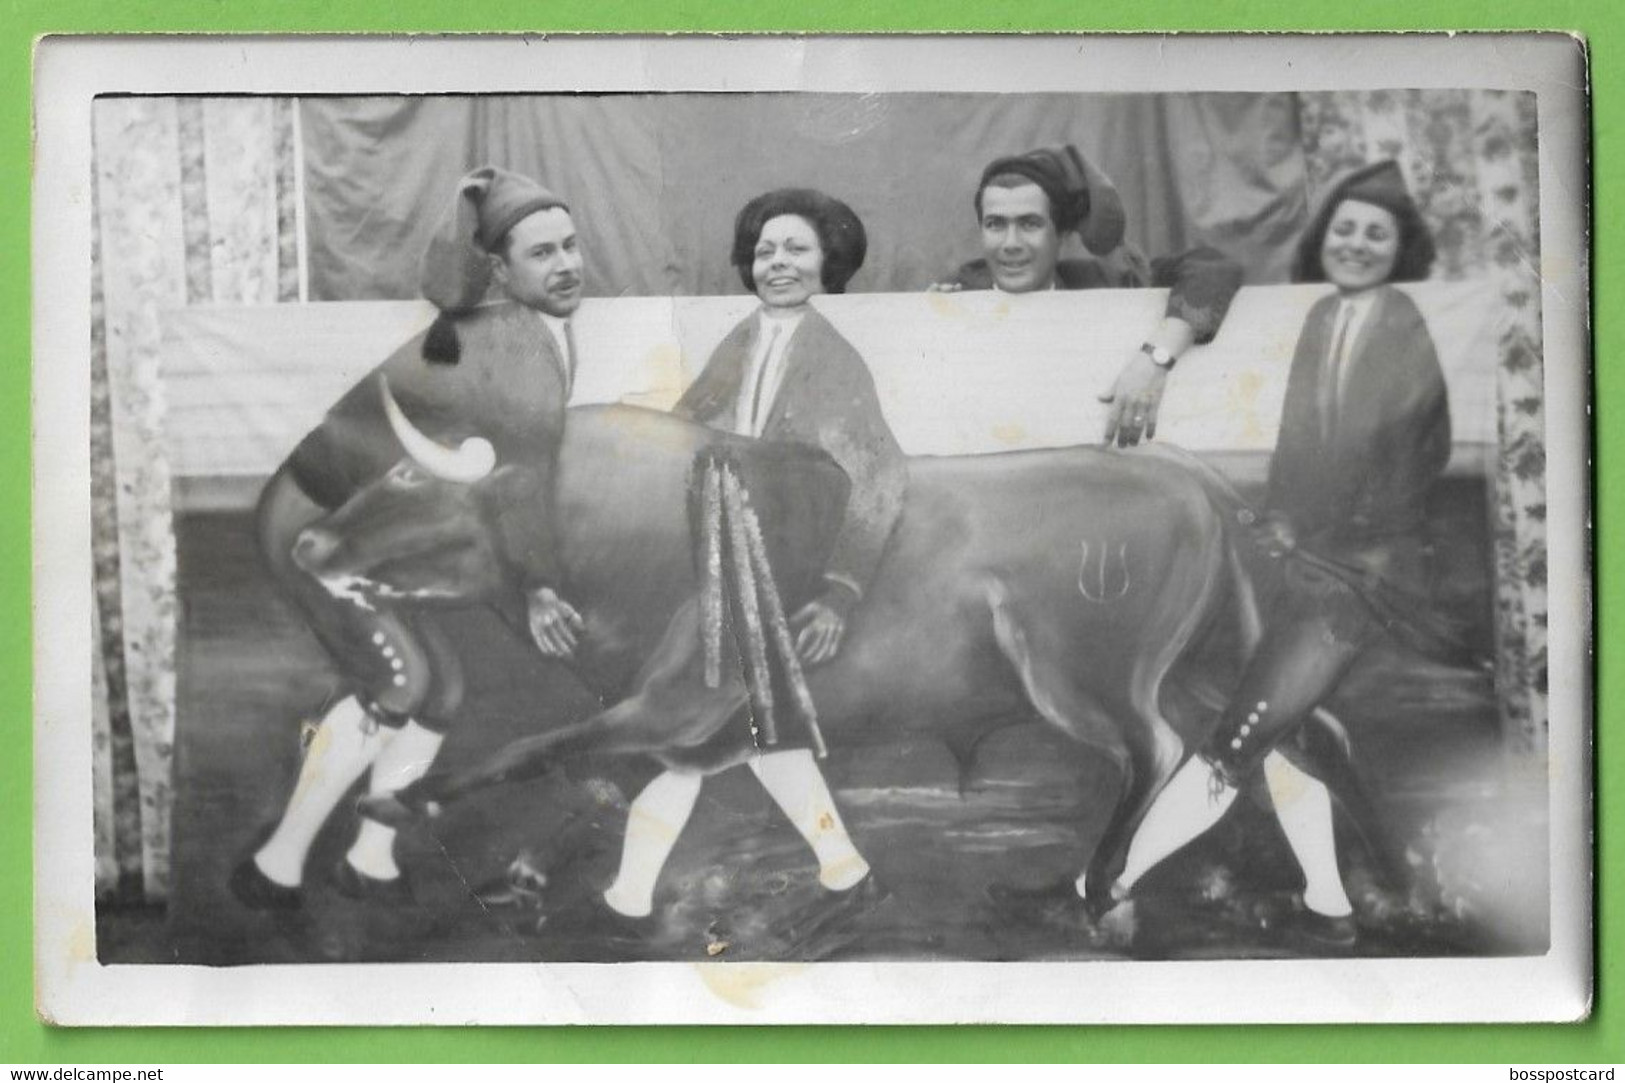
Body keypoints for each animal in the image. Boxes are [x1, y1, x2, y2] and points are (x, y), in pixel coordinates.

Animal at [295, 382, 1384, 910]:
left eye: (407, 475)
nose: (309, 544)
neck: (648, 526)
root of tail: (1198, 483)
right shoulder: (713, 727)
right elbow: (646, 793)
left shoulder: (674, 703)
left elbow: (536, 748)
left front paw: (396, 803)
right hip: (1207, 663)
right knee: (1294, 742)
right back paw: (1356, 889)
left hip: (1090, 679)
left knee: (1162, 754)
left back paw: (1091, 881)